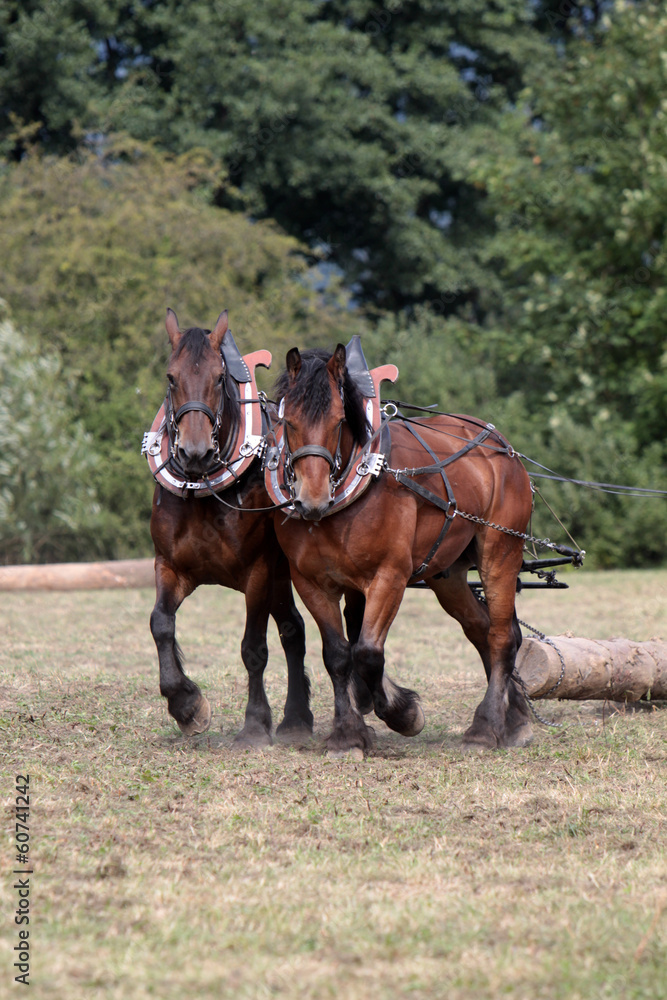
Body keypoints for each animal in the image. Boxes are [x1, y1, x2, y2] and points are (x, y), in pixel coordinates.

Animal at [147, 308, 314, 748]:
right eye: (171, 377)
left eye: (219, 378)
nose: (194, 451)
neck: (202, 489)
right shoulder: (171, 566)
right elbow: (160, 624)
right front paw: (186, 705)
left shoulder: (258, 571)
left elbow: (253, 648)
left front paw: (255, 724)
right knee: (293, 629)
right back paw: (297, 717)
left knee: (291, 631)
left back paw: (295, 718)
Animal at [274, 344, 536, 752]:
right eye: (288, 422)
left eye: (339, 421)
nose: (311, 499)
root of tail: (501, 447)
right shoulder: (310, 582)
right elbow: (338, 655)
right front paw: (347, 734)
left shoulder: (389, 577)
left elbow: (367, 652)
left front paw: (404, 713)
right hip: (449, 574)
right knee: (482, 629)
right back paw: (516, 716)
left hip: (500, 553)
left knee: (502, 637)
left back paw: (486, 726)